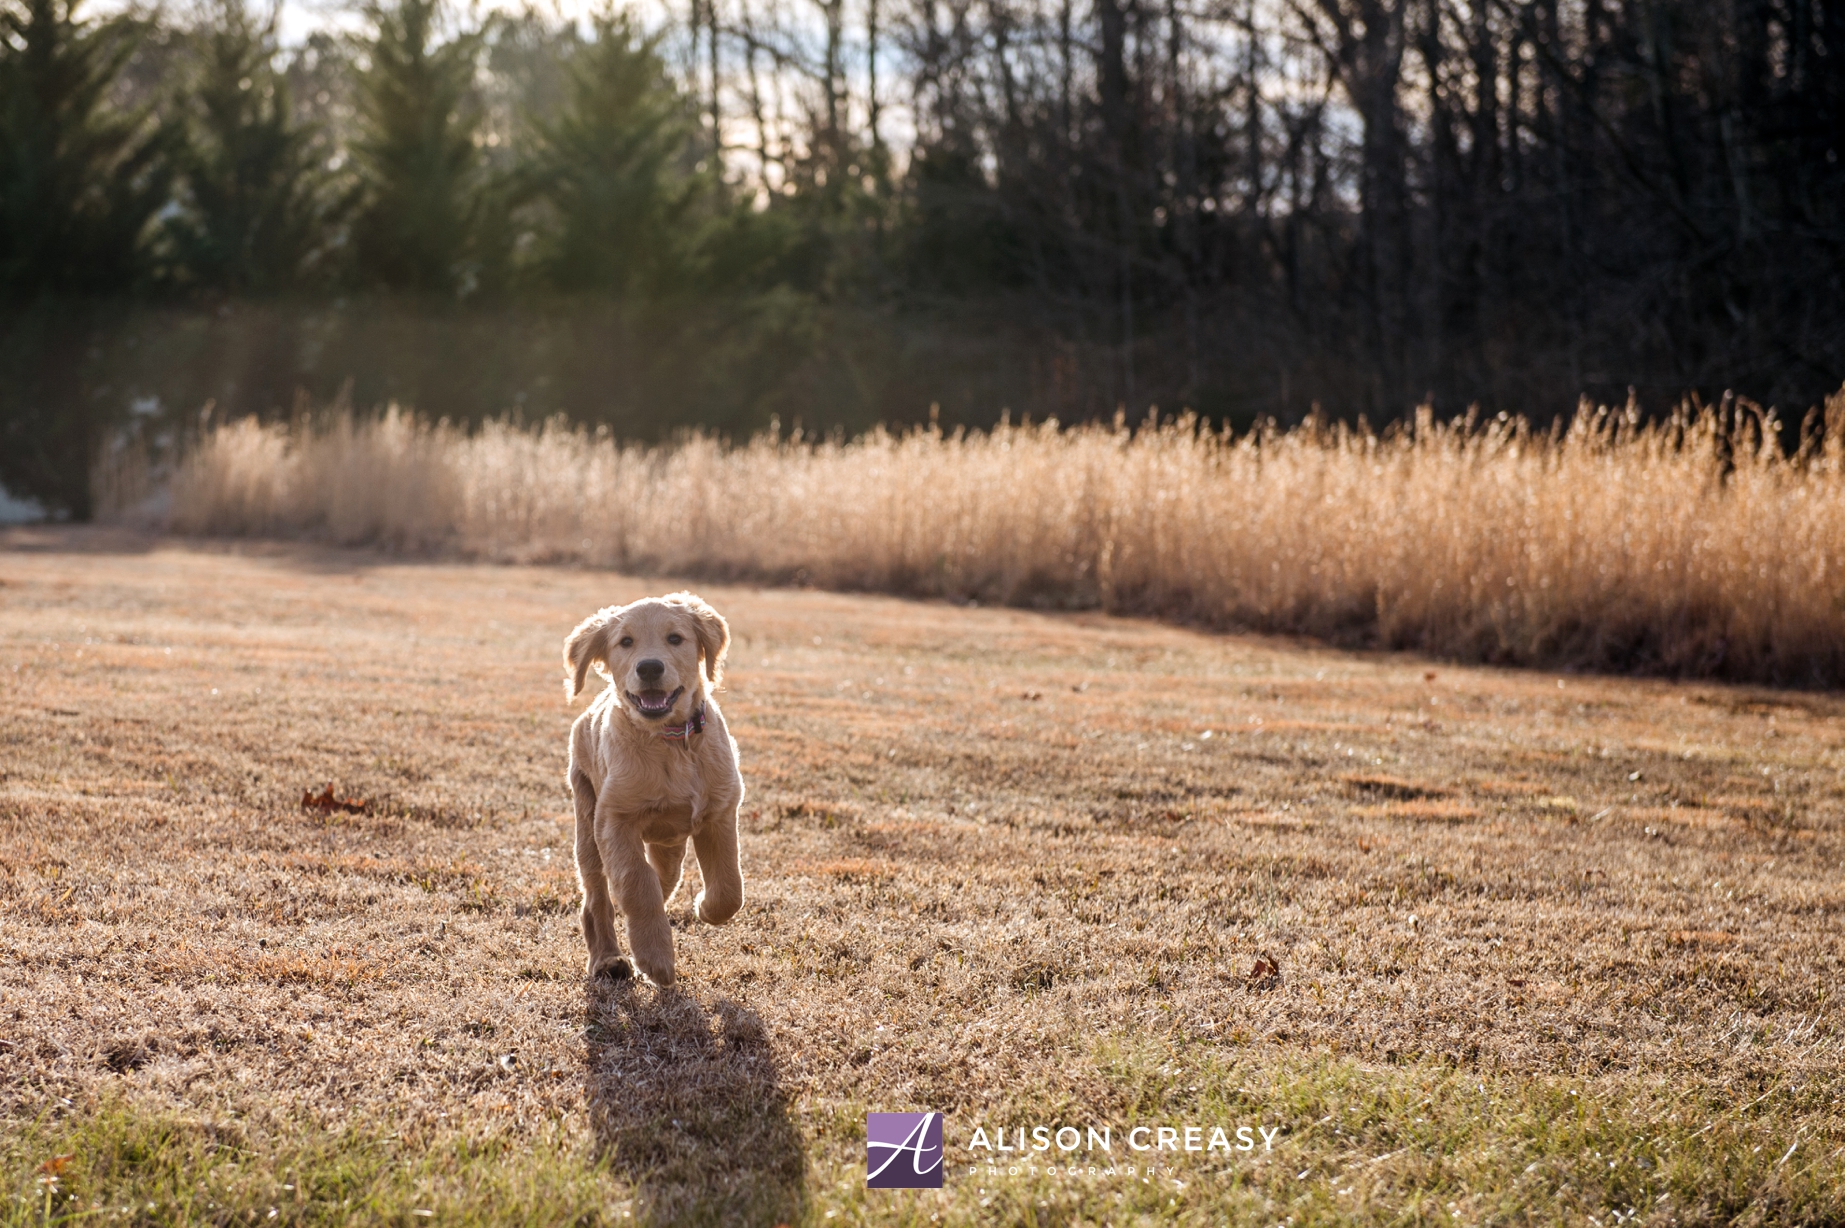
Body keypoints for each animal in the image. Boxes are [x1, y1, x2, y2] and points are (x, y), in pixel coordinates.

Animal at [560, 590, 741, 980]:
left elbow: (730, 887)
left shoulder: (720, 812)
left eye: (675, 638)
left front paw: (706, 908)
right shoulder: (614, 821)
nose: (649, 668)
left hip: (668, 840)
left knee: (666, 876)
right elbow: (636, 882)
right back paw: (607, 958)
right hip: (586, 819)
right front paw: (655, 957)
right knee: (597, 895)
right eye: (625, 642)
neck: (669, 741)